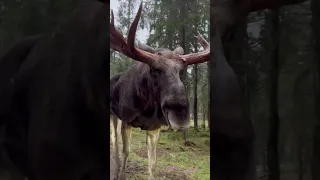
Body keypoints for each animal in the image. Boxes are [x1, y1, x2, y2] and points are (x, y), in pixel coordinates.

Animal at [109, 3, 210, 180]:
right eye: (154, 69)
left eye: (181, 71)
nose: (179, 112)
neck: (146, 107)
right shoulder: (127, 120)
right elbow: (126, 151)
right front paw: (120, 174)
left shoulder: (154, 127)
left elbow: (153, 163)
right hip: (113, 115)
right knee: (114, 141)